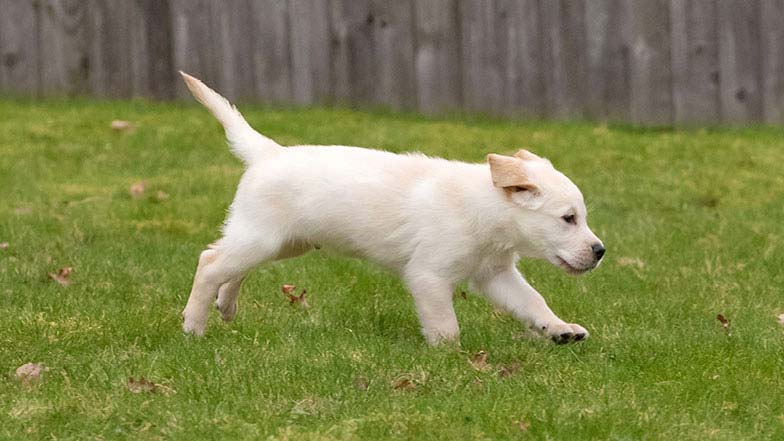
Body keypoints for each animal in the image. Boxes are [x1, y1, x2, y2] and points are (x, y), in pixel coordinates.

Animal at [179, 72, 608, 346]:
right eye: (568, 219)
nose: (600, 251)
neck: (485, 211)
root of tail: (268, 152)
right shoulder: (429, 276)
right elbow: (446, 327)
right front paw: (452, 358)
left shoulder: (496, 274)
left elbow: (533, 300)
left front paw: (560, 330)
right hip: (262, 237)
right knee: (210, 262)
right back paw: (193, 327)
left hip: (285, 243)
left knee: (230, 266)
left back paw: (225, 306)